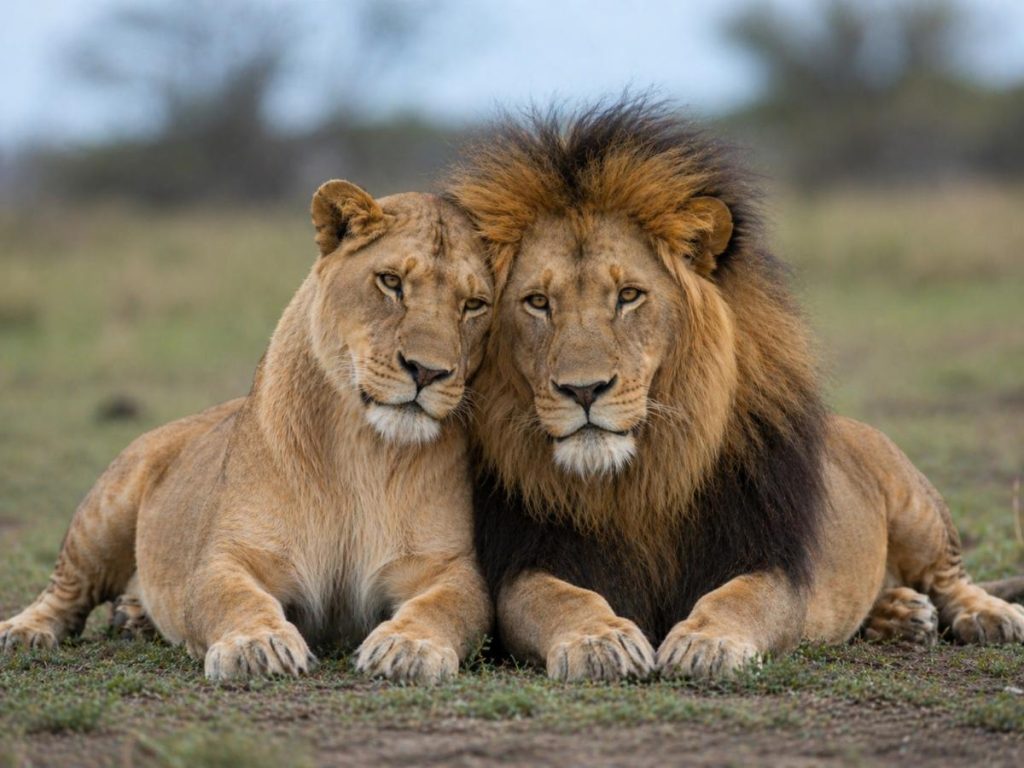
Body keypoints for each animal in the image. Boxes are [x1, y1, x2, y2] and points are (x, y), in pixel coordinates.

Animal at [0, 181, 493, 683]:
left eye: (474, 305)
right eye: (390, 282)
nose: (427, 371)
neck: (363, 447)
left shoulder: (452, 568)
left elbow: (446, 606)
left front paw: (409, 647)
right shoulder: (227, 557)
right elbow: (234, 598)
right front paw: (258, 645)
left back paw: (134, 617)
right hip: (104, 512)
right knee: (67, 589)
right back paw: (25, 631)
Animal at [446, 98, 1024, 681]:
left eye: (629, 295)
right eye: (538, 302)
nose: (584, 390)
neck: (636, 484)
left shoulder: (769, 560)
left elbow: (739, 599)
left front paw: (705, 643)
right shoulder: (524, 564)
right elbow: (561, 599)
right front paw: (600, 640)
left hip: (916, 505)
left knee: (950, 577)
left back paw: (989, 616)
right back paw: (899, 615)